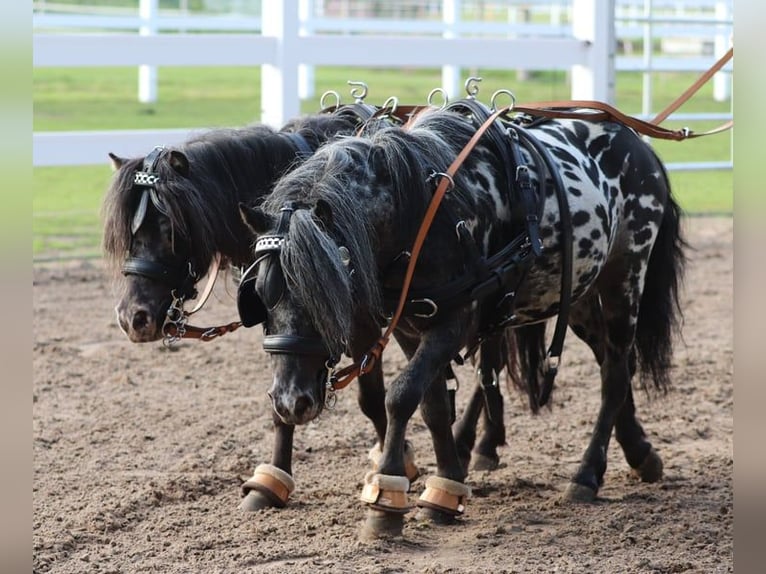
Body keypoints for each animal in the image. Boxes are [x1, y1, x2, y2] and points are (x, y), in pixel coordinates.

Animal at [239, 104, 685, 538]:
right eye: (259, 295)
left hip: (624, 279)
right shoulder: (409, 324)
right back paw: (640, 453)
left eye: (327, 294)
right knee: (613, 361)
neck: (421, 214)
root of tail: (634, 140)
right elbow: (432, 403)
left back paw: (587, 474)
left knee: (614, 375)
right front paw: (446, 488)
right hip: (577, 296)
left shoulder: (458, 319)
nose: (290, 402)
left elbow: (400, 395)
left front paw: (386, 500)